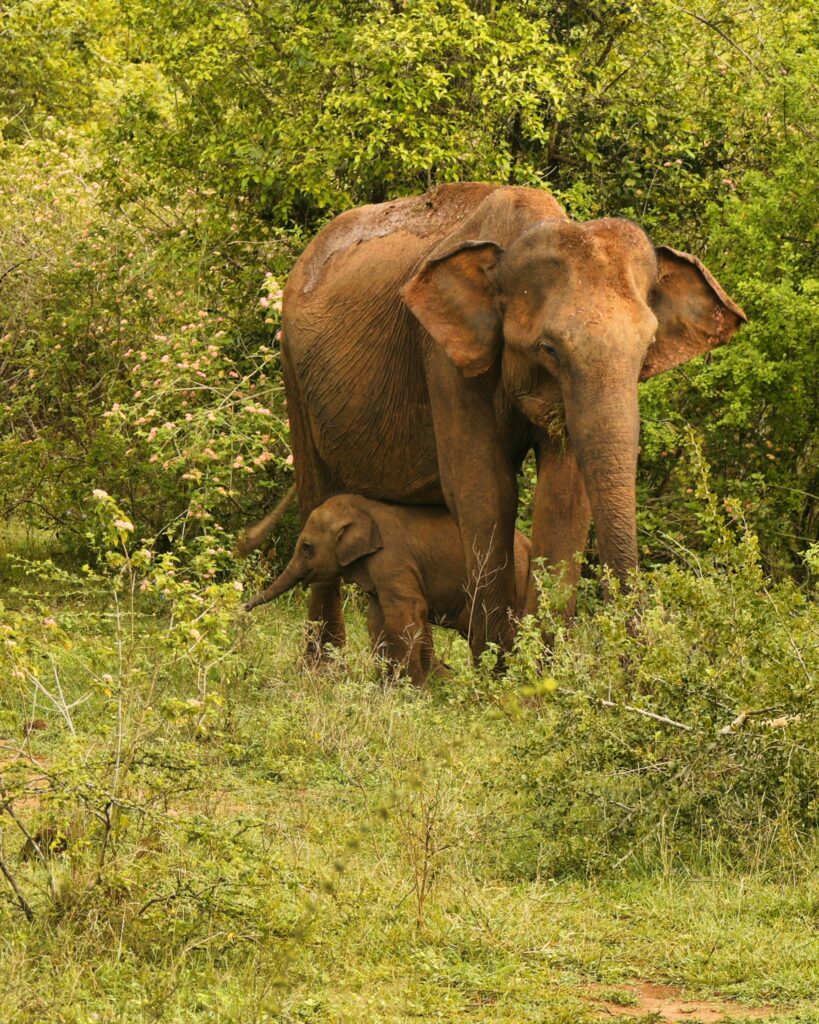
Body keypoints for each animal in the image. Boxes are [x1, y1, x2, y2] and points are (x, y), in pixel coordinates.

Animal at [243, 491, 532, 684]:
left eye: (306, 547)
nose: (244, 607)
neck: (365, 510)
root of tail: (528, 544)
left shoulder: (393, 560)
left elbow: (405, 612)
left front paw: (413, 690)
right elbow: (376, 619)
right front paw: (388, 686)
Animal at [276, 181, 749, 659]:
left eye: (648, 346)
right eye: (550, 349)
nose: (635, 661)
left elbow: (563, 496)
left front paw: (544, 669)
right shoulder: (443, 359)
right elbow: (484, 490)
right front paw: (497, 670)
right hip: (293, 368)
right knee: (317, 499)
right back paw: (323, 668)